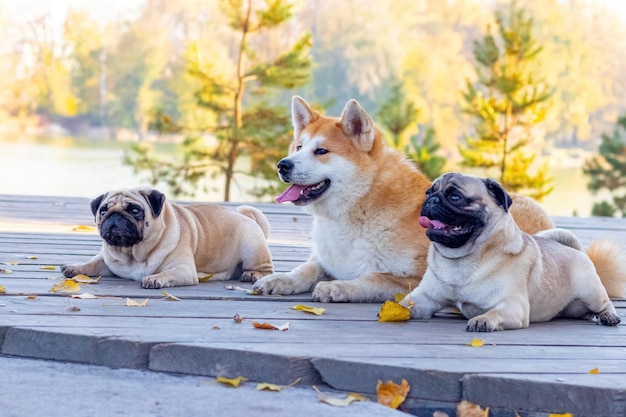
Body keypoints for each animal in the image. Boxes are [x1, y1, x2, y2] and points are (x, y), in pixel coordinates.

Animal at [251, 96, 552, 300]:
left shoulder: (415, 277)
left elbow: (372, 277)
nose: (283, 164)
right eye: (299, 147)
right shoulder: (326, 260)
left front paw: (340, 286)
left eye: (321, 151)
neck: (360, 206)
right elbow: (306, 270)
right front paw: (281, 279)